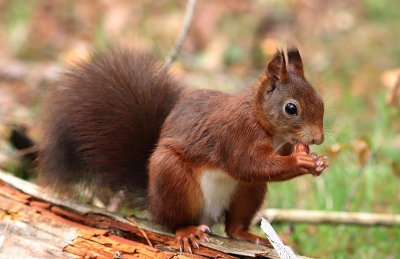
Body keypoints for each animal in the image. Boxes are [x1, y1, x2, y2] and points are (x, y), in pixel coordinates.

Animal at [36, 44, 328, 254]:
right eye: (291, 108)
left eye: (321, 101)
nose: (319, 138)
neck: (261, 118)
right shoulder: (236, 136)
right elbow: (249, 164)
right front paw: (302, 162)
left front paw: (318, 162)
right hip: (173, 177)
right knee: (174, 221)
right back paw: (187, 231)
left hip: (248, 192)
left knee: (233, 226)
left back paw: (249, 235)